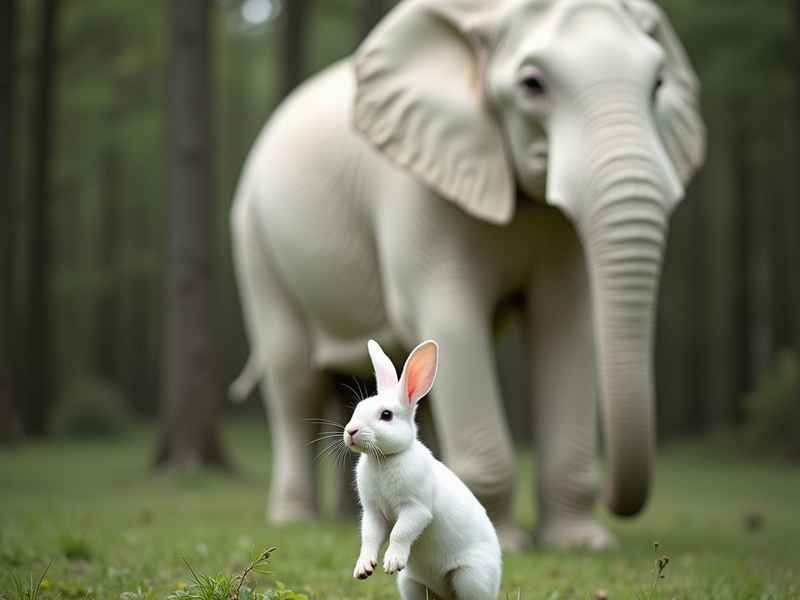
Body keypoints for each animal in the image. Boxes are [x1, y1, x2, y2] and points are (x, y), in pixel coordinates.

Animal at [230, 0, 705, 550]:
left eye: (659, 84)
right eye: (532, 84)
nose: (618, 500)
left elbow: (566, 320)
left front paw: (582, 545)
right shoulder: (413, 183)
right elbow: (451, 316)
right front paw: (511, 542)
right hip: (254, 239)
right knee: (293, 376)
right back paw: (295, 519)